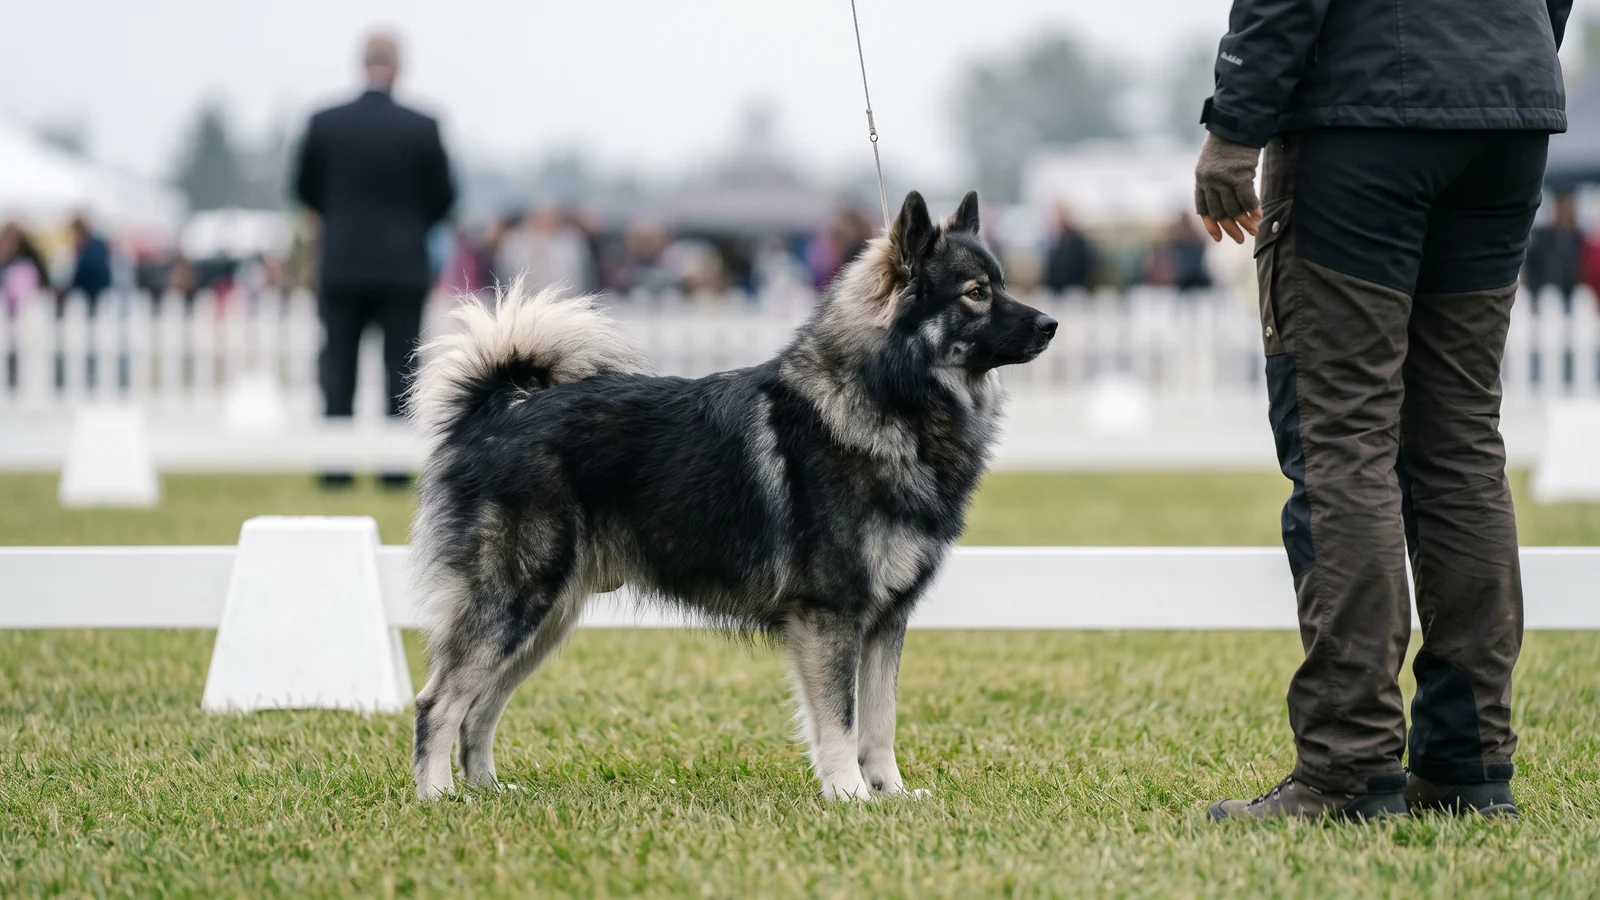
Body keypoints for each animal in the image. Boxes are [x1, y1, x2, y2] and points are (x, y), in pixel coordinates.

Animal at [407, 190, 1056, 801]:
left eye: (1002, 285)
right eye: (975, 293)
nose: (1050, 324)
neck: (889, 400)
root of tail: (495, 410)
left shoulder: (885, 621)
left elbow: (880, 723)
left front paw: (891, 795)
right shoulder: (832, 616)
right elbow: (840, 722)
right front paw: (850, 795)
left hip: (547, 618)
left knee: (480, 709)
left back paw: (487, 790)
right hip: (515, 603)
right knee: (439, 702)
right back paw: (439, 795)